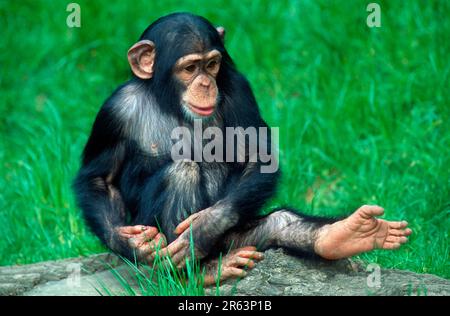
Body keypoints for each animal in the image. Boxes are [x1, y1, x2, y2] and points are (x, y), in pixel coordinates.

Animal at [73, 12, 412, 284]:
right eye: (189, 68)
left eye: (212, 64)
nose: (206, 84)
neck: (170, 103)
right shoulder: (114, 112)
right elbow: (98, 179)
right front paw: (129, 243)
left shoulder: (239, 89)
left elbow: (258, 158)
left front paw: (204, 227)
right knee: (181, 172)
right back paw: (200, 274)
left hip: (236, 237)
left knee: (276, 224)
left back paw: (348, 235)